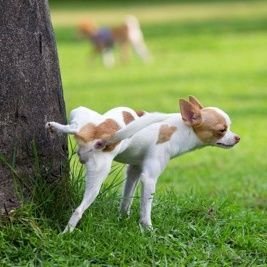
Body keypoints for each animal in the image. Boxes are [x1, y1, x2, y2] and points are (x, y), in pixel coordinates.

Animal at [45, 96, 241, 232]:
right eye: (222, 130)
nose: (237, 138)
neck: (181, 128)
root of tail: (102, 135)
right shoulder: (149, 178)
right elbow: (146, 210)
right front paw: (148, 231)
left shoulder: (134, 170)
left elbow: (126, 198)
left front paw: (123, 219)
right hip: (98, 176)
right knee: (78, 210)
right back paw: (66, 233)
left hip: (81, 114)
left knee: (74, 127)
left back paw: (55, 126)